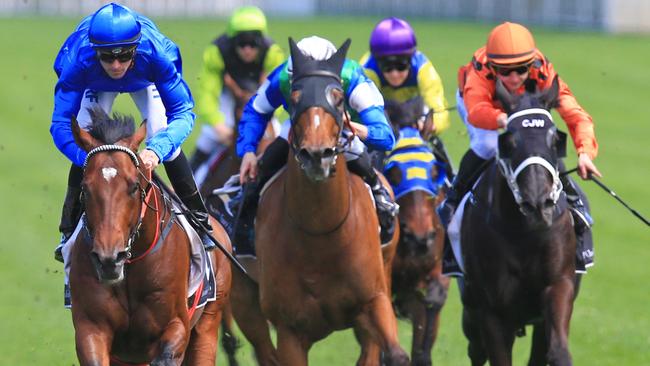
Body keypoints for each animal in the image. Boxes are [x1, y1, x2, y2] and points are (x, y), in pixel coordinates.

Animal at [69, 112, 232, 366]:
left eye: (134, 186)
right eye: (85, 189)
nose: (109, 259)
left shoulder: (176, 326)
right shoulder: (92, 327)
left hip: (208, 325)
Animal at [458, 76, 580, 364]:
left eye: (554, 140)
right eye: (510, 142)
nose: (538, 205)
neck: (525, 234)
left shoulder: (559, 285)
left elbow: (558, 352)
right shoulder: (491, 309)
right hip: (472, 312)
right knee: (476, 350)